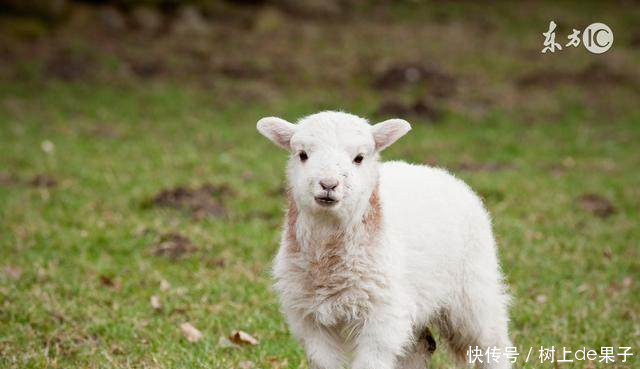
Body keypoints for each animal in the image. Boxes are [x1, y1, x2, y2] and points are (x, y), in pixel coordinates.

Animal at [258, 110, 512, 366]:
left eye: (359, 158)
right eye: (302, 155)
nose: (328, 185)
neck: (329, 261)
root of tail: (438, 172)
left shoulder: (382, 316)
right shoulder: (310, 318)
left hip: (473, 288)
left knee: (492, 342)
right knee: (421, 345)